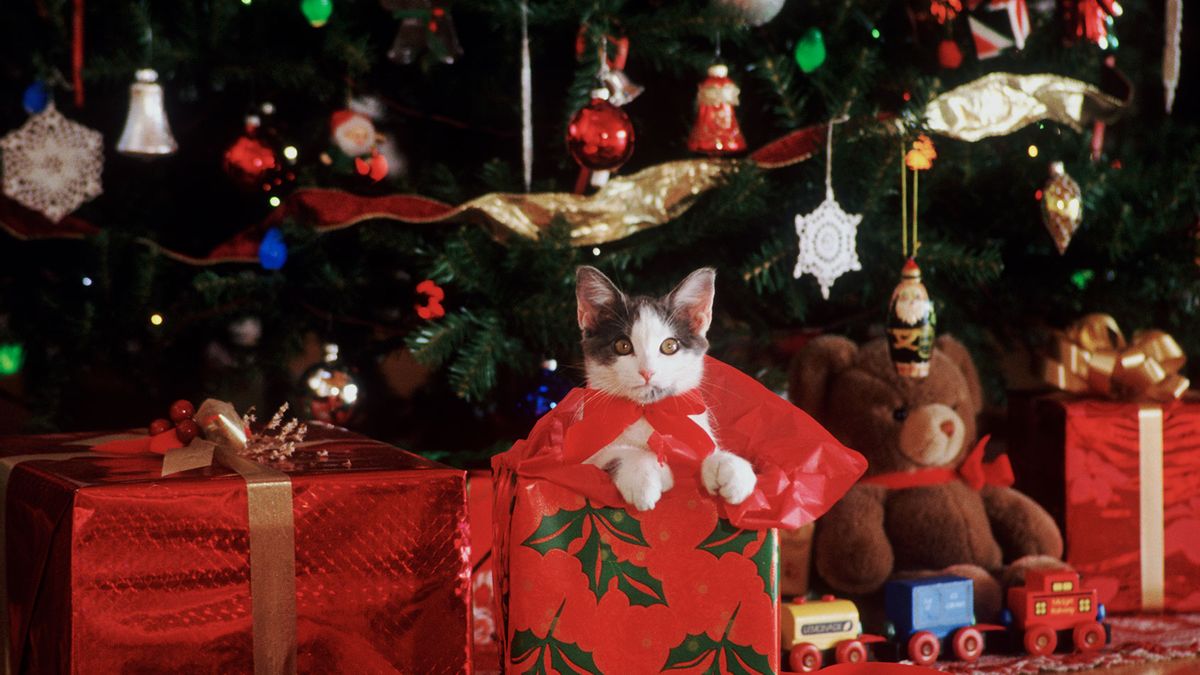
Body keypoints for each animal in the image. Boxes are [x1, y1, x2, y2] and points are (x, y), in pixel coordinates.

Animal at [576, 265, 753, 506]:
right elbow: (612, 453)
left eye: (670, 346)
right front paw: (644, 477)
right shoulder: (584, 453)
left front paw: (729, 466)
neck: (648, 411)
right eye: (622, 345)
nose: (647, 372)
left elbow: (704, 447)